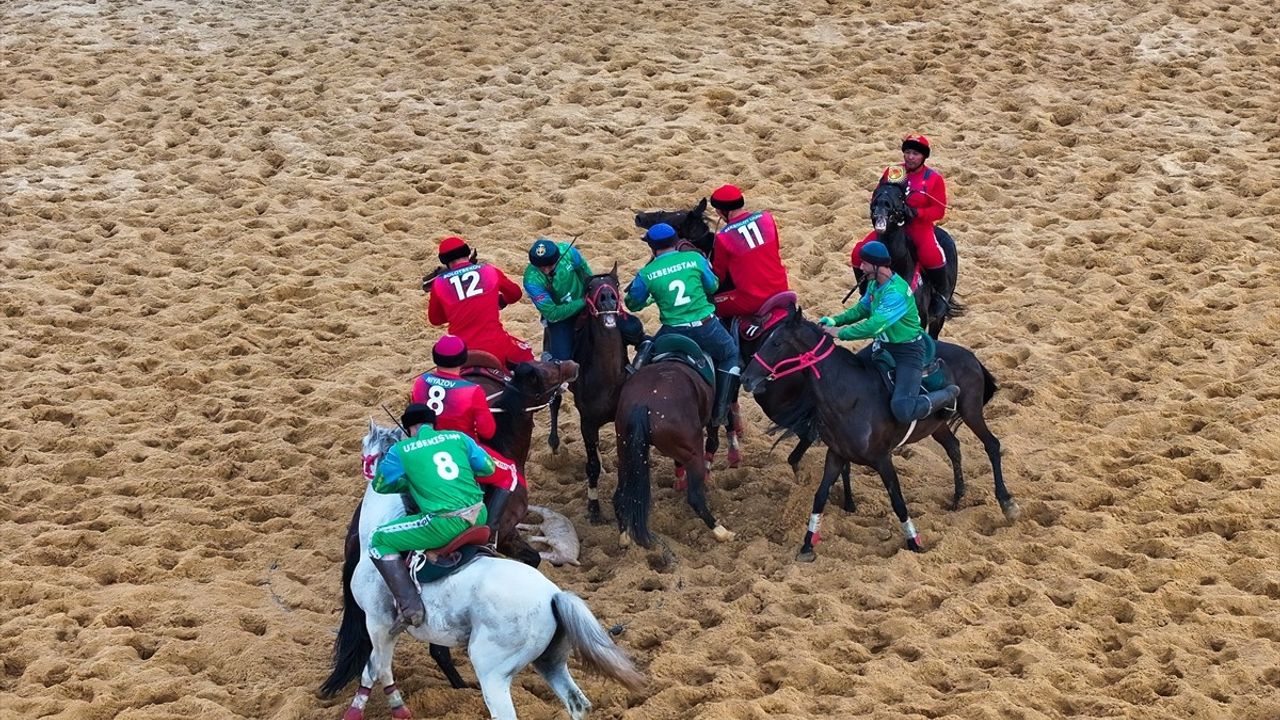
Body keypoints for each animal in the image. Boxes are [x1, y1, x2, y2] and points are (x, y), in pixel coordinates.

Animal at [316, 420, 645, 717]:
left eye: (364, 443)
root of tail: (552, 595)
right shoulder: (386, 627)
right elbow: (373, 669)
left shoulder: (379, 623)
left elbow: (379, 669)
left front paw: (393, 709)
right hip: (550, 662)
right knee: (577, 703)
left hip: (492, 672)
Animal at [611, 345, 737, 543]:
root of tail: (642, 402)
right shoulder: (712, 420)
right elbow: (713, 442)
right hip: (693, 452)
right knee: (695, 498)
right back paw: (720, 530)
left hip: (625, 451)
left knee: (620, 496)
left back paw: (625, 535)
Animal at [742, 304, 1018, 558]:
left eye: (776, 342)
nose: (746, 378)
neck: (850, 397)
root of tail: (970, 356)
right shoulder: (836, 455)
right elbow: (820, 496)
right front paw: (808, 544)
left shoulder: (883, 459)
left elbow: (898, 502)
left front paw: (914, 543)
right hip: (938, 426)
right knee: (954, 448)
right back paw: (958, 497)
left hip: (971, 412)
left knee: (992, 445)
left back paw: (1006, 502)